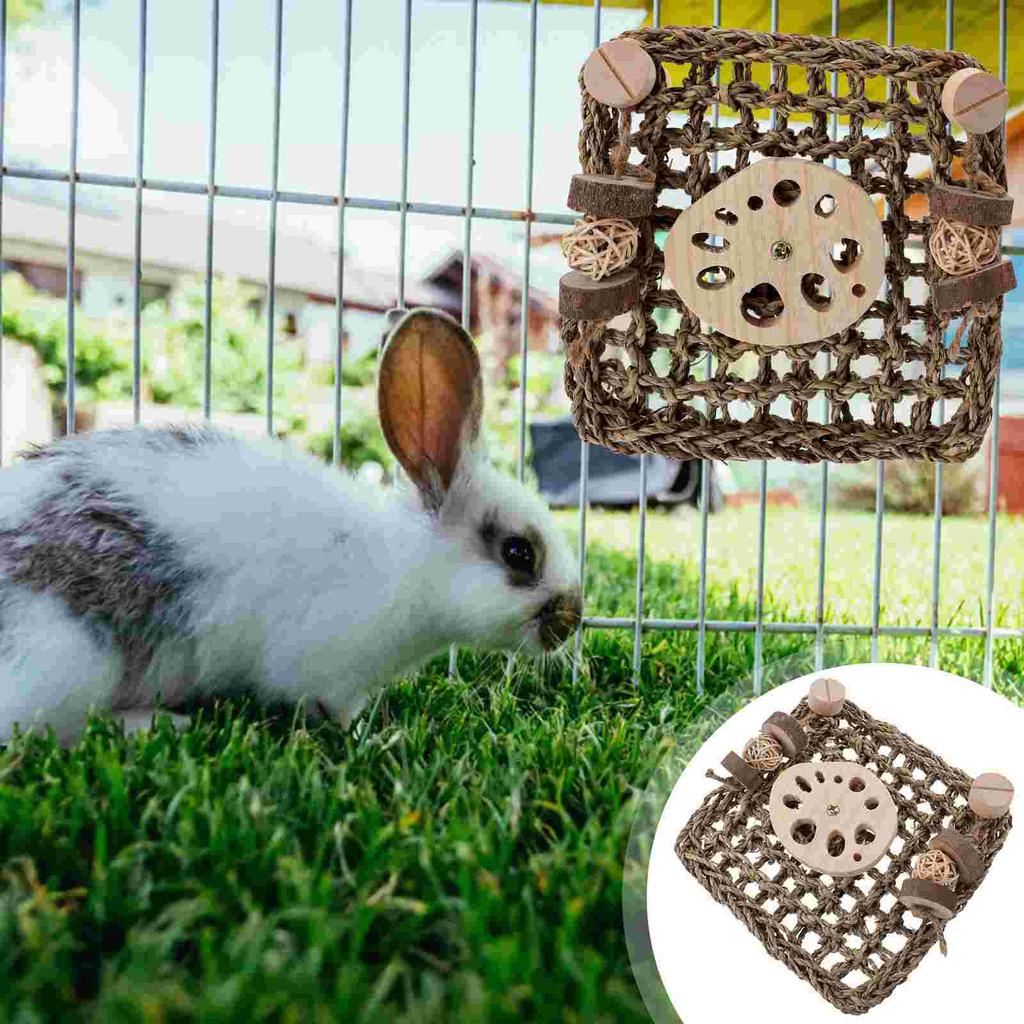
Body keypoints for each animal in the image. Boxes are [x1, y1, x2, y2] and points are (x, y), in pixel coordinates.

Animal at [0, 308, 582, 743]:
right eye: (518, 553)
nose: (573, 617)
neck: (408, 566)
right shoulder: (328, 669)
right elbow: (332, 709)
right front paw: (366, 734)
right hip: (68, 664)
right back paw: (158, 723)